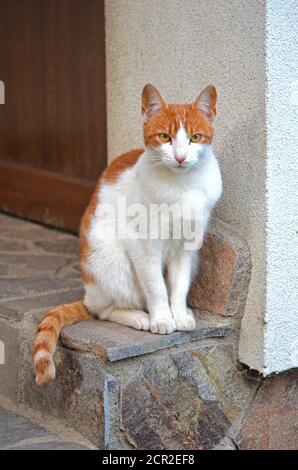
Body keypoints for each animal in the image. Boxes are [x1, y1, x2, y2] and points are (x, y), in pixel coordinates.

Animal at [33, 83, 222, 386]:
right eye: (165, 137)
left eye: (195, 137)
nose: (180, 157)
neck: (182, 187)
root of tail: (89, 292)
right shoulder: (143, 246)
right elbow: (156, 287)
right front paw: (162, 319)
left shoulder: (187, 248)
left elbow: (178, 286)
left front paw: (179, 313)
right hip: (110, 259)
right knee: (104, 310)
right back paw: (139, 317)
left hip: (193, 261)